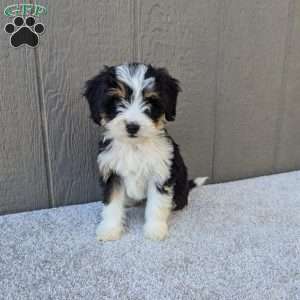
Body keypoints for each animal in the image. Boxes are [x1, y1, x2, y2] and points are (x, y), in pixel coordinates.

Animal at [84, 63, 206, 241]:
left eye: (150, 101)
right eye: (117, 100)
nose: (132, 126)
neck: (135, 146)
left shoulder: (160, 172)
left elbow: (157, 204)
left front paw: (155, 229)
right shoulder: (112, 173)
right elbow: (112, 203)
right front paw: (110, 229)